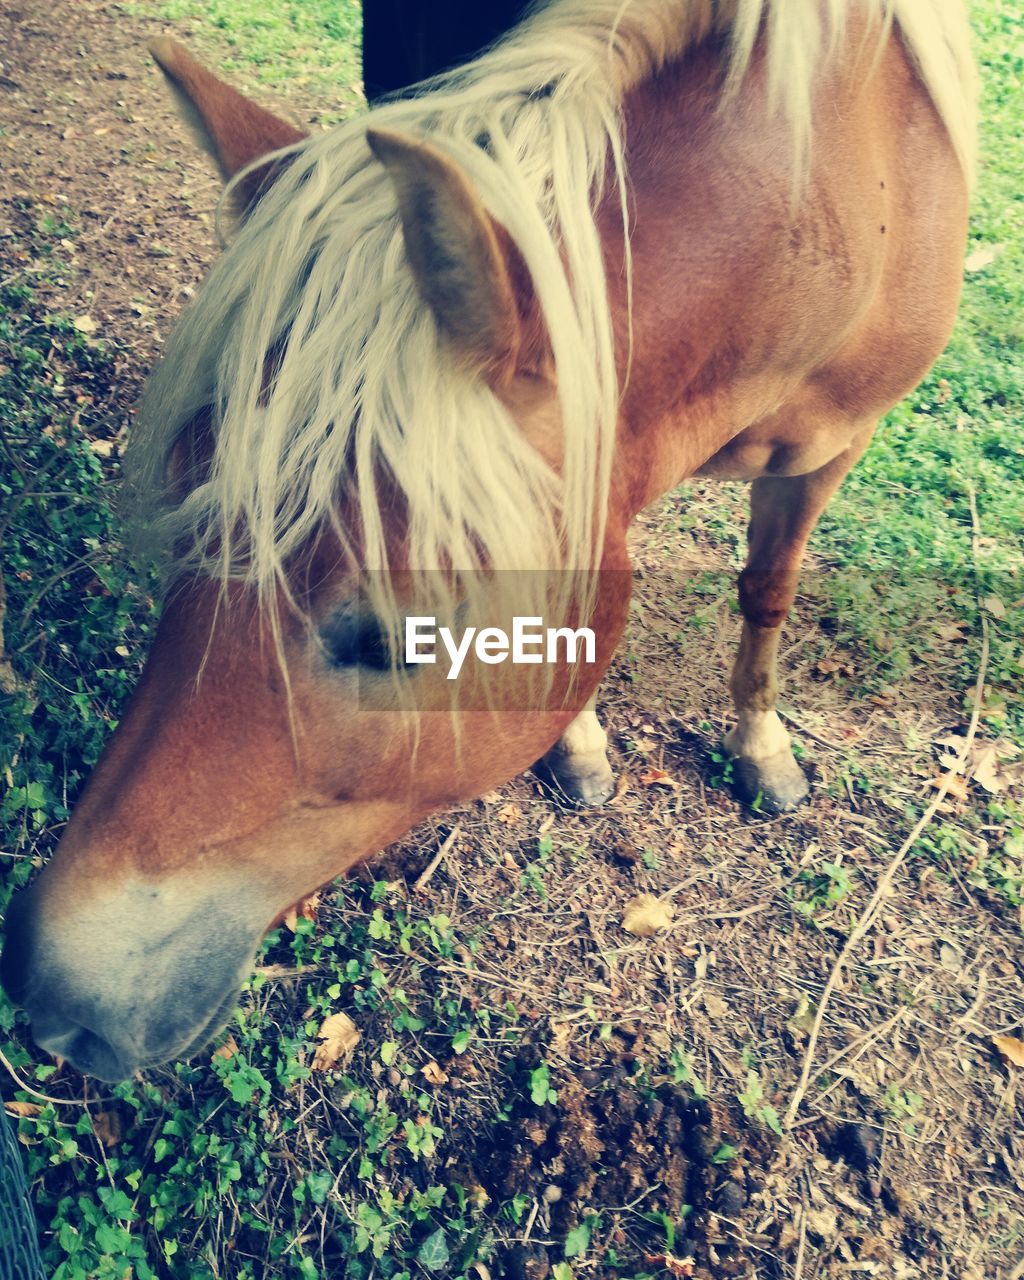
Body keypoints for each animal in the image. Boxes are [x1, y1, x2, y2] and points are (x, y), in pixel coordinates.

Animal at [0, 0, 977, 1080]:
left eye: (391, 639)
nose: (45, 975)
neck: (833, 199)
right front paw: (582, 747)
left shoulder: (838, 444)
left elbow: (768, 590)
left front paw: (762, 748)